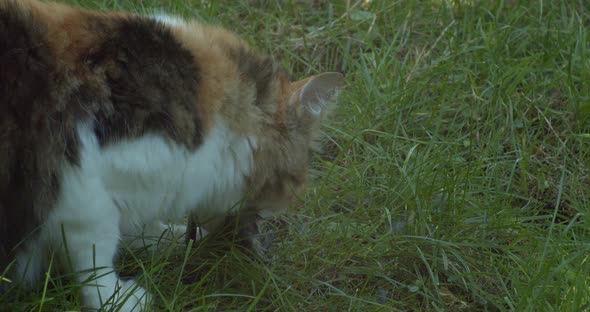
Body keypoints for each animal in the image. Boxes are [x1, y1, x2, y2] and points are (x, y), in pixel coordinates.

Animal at [0, 1, 344, 310]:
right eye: (296, 180)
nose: (280, 210)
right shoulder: (82, 189)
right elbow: (95, 253)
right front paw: (118, 299)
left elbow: (138, 227)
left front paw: (168, 238)